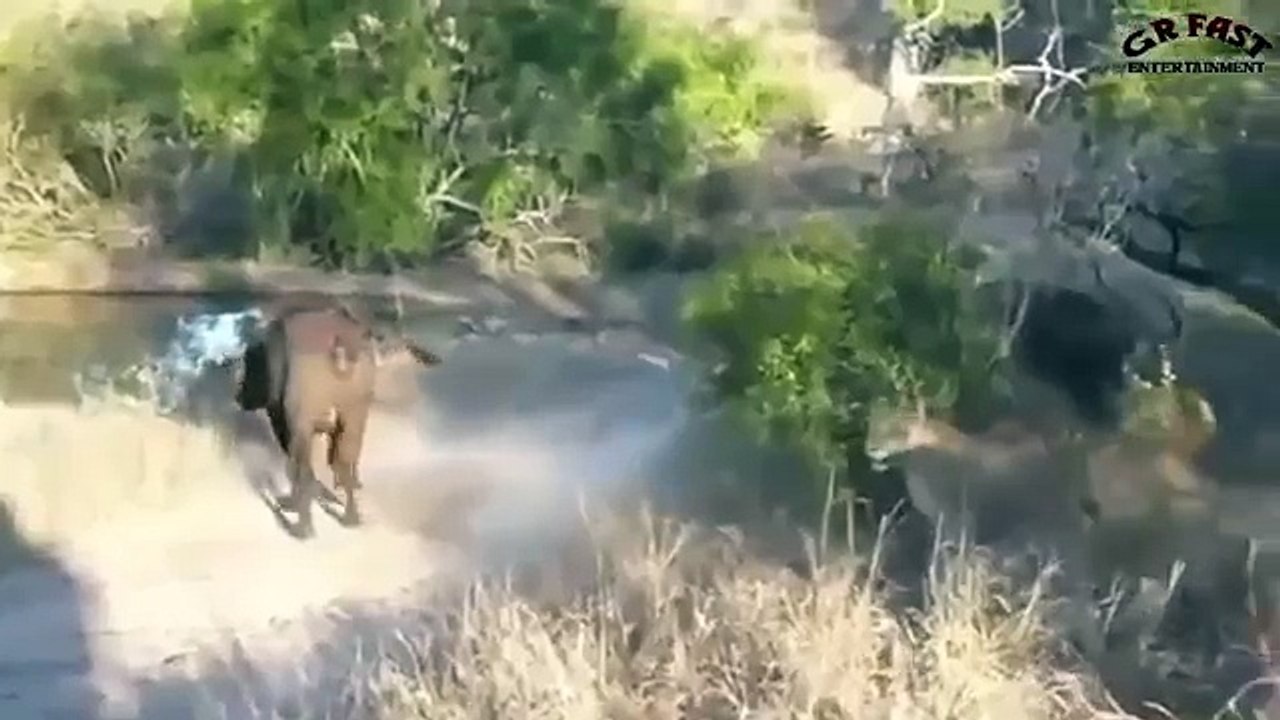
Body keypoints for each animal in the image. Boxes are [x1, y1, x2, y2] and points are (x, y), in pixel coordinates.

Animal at [232, 300, 442, 538]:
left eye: (247, 367)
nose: (237, 395)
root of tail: (338, 344)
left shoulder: (285, 422)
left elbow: (296, 466)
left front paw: (293, 503)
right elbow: (334, 461)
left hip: (303, 422)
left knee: (304, 467)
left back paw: (303, 526)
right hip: (353, 415)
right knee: (346, 460)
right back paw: (351, 517)